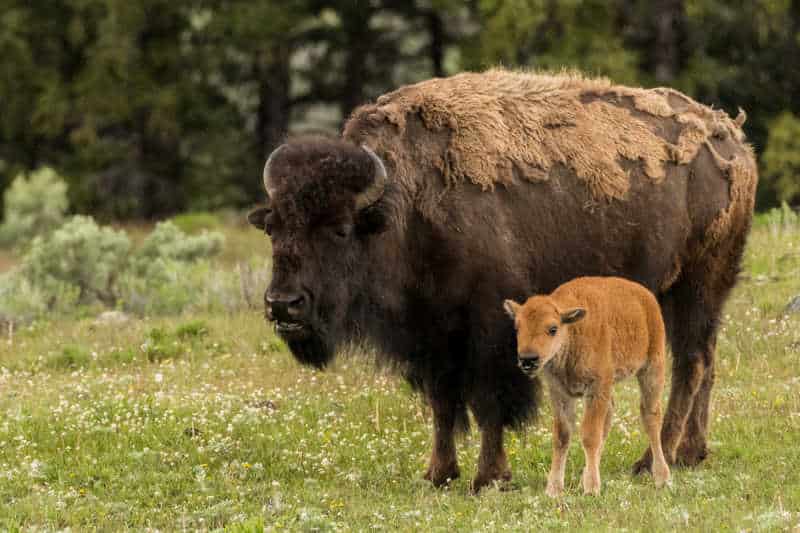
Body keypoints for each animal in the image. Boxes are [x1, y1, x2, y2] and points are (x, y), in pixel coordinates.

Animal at [248, 69, 757, 492]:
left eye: (338, 229)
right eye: (273, 227)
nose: (283, 304)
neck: (405, 208)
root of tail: (731, 139)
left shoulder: (491, 332)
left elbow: (489, 404)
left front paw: (490, 477)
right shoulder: (435, 337)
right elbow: (443, 405)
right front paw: (438, 474)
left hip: (696, 286)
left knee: (690, 364)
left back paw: (653, 461)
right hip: (689, 294)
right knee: (706, 361)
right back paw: (692, 453)